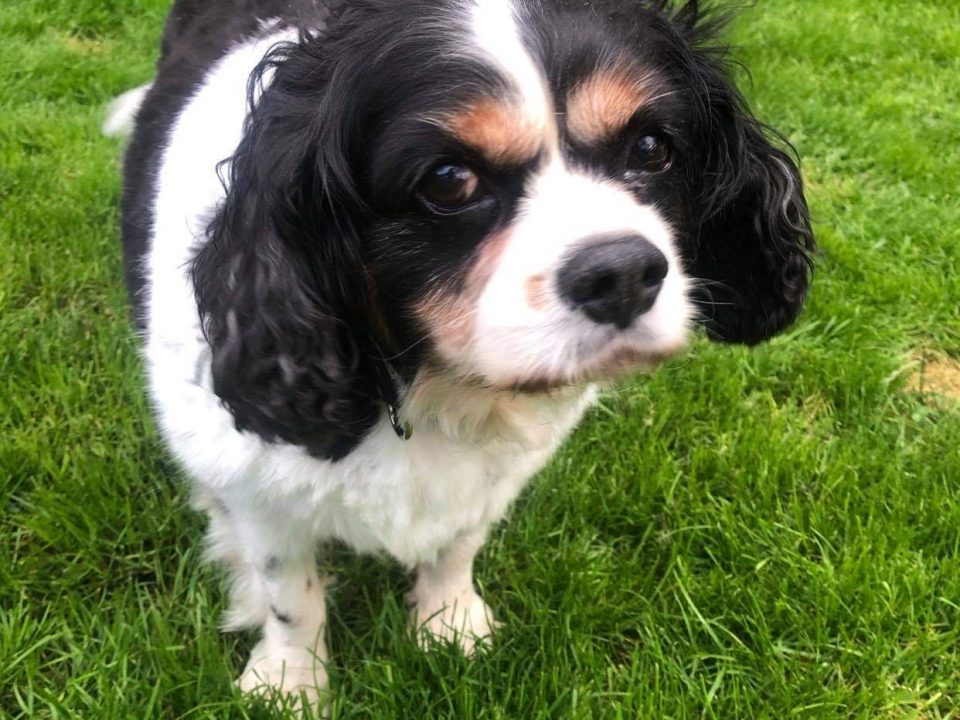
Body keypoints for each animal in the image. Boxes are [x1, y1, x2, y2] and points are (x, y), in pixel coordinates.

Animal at [109, 0, 812, 708]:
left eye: (651, 149)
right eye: (449, 181)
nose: (621, 274)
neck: (427, 381)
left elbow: (458, 541)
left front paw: (448, 623)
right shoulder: (254, 486)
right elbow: (289, 592)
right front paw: (290, 681)